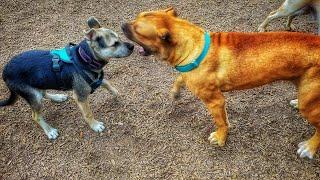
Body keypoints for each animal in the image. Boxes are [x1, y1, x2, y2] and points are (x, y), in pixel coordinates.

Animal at [0, 16, 133, 139]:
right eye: (115, 44)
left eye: (119, 38)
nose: (132, 46)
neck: (84, 57)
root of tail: (4, 72)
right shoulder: (81, 96)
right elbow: (88, 114)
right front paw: (95, 125)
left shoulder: (96, 78)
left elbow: (107, 83)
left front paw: (115, 93)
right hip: (33, 95)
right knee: (35, 116)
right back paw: (49, 131)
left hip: (38, 84)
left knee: (43, 93)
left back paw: (58, 97)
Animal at [121, 7, 320, 159]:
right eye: (137, 16)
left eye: (137, 30)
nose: (122, 24)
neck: (193, 46)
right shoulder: (193, 79)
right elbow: (181, 79)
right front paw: (175, 91)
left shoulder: (215, 101)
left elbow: (220, 122)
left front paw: (221, 138)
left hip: (308, 105)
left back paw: (309, 147)